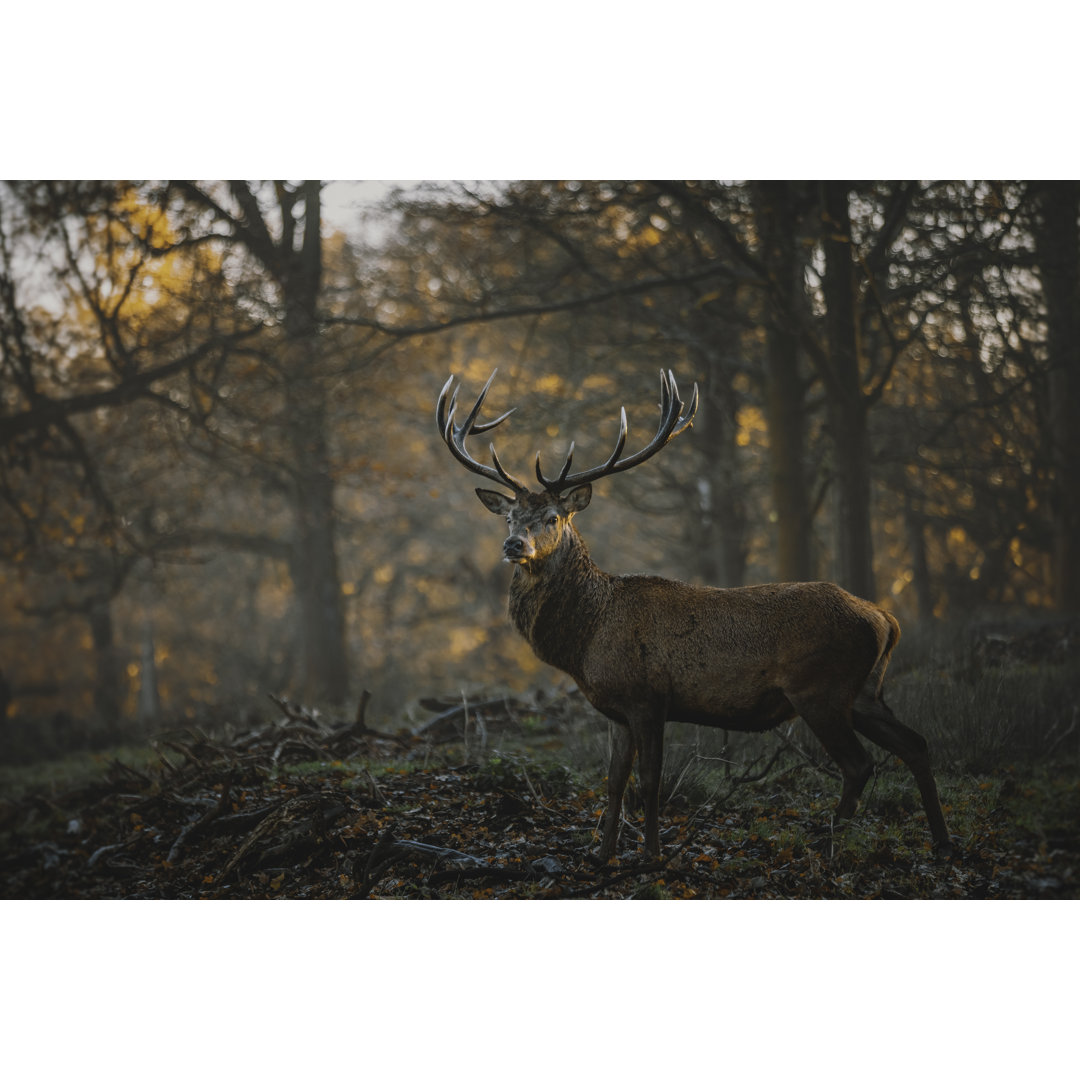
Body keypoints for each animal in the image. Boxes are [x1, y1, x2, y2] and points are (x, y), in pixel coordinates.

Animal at [434, 369, 950, 859]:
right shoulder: (616, 708)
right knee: (917, 743)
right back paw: (942, 843)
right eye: (509, 517)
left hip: (820, 688)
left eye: (553, 518)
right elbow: (614, 780)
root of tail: (885, 620)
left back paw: (826, 843)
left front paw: (650, 853)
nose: (513, 545)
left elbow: (649, 780)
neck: (588, 638)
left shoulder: (648, 696)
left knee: (859, 764)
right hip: (864, 691)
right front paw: (602, 853)